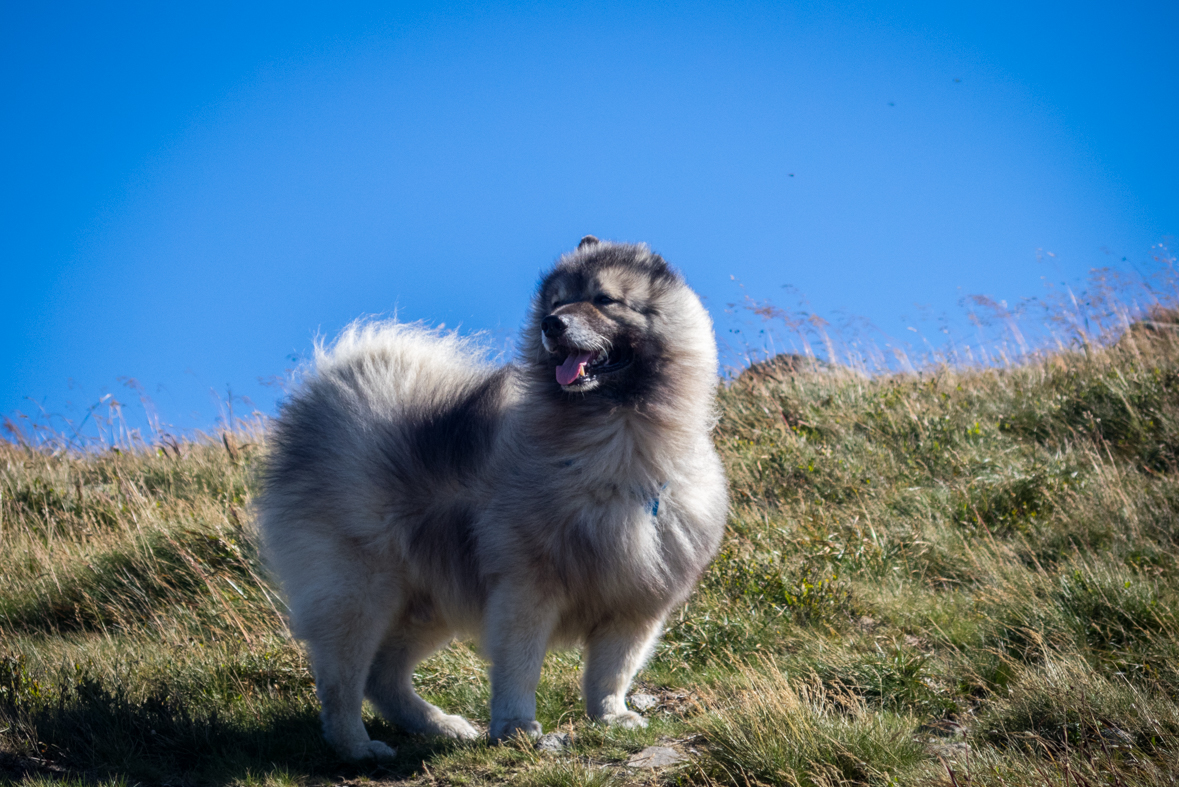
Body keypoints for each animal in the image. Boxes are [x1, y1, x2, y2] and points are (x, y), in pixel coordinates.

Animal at [260, 236, 726, 758]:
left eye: (604, 300)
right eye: (556, 302)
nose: (551, 324)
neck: (617, 445)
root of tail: (322, 403)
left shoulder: (636, 600)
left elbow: (612, 671)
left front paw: (610, 716)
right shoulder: (526, 589)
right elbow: (520, 665)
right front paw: (517, 726)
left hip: (427, 600)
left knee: (383, 676)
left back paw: (441, 725)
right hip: (358, 592)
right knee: (341, 681)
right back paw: (358, 747)